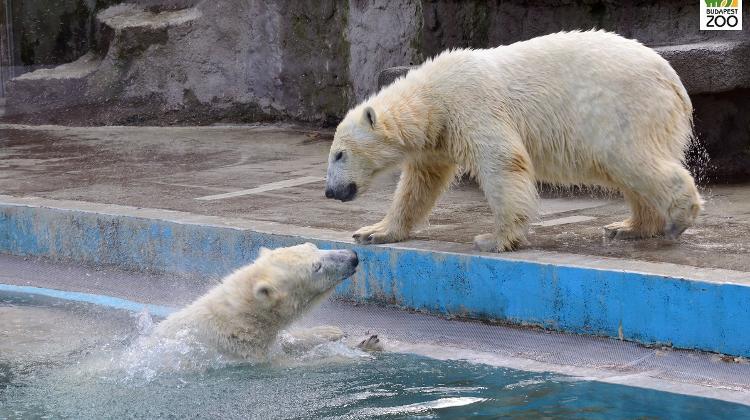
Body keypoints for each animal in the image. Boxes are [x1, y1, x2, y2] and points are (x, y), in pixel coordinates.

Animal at [324, 30, 702, 252]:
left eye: (339, 154)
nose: (330, 191)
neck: (433, 95)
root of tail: (674, 81)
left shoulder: (471, 104)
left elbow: (502, 162)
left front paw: (493, 239)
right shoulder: (438, 137)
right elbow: (420, 184)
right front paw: (373, 231)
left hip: (623, 107)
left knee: (631, 158)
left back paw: (678, 218)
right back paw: (627, 227)